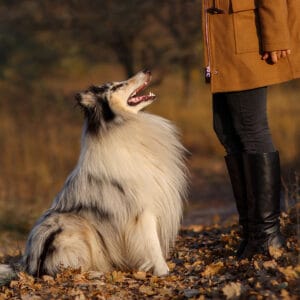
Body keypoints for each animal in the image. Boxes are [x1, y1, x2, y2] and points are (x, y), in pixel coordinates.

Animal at [0, 68, 188, 278]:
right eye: (117, 86)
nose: (147, 70)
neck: (124, 125)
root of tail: (27, 266)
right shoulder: (142, 210)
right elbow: (152, 244)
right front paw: (164, 271)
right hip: (72, 225)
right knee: (65, 271)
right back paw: (98, 274)